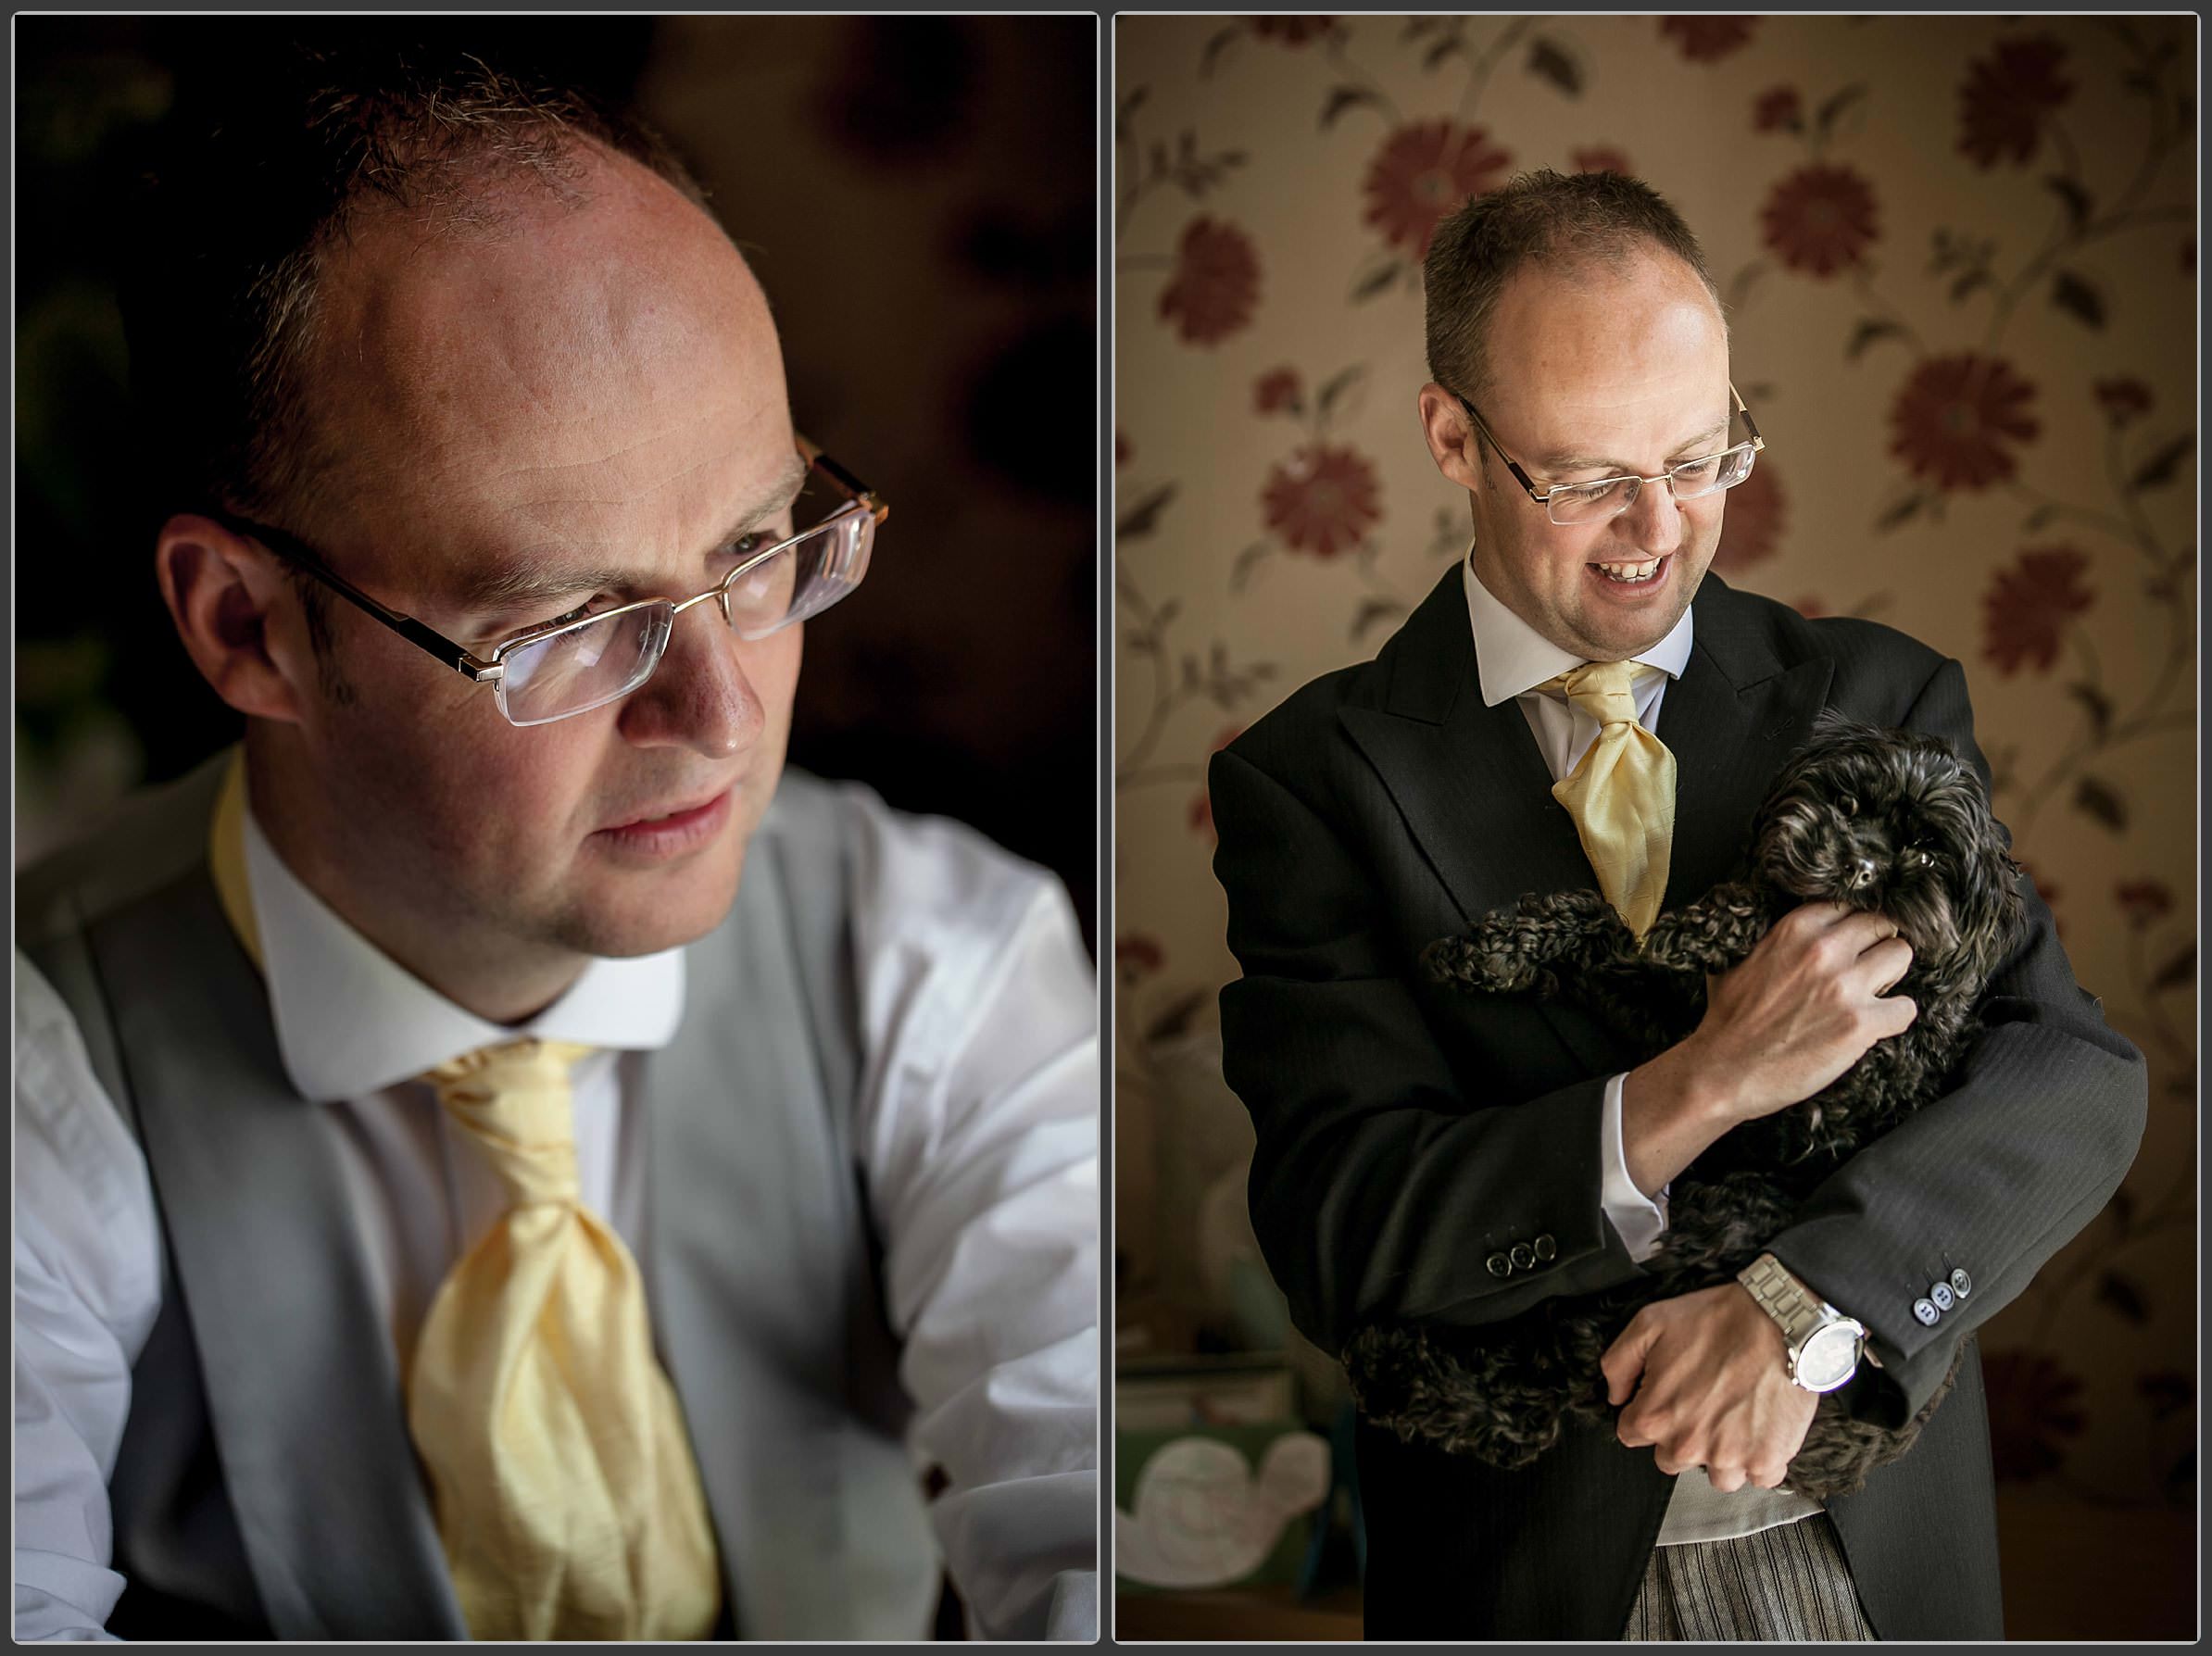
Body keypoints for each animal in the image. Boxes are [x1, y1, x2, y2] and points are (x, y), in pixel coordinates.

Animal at [1336, 711, 2026, 1494]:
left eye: (1929, 855)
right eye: (1850, 803)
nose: (1863, 868)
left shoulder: (1862, 1076)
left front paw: (1716, 921)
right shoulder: (1673, 1026)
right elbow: (1604, 931)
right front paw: (1495, 950)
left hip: (1724, 1225)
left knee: (1556, 1380)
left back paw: (1398, 1371)